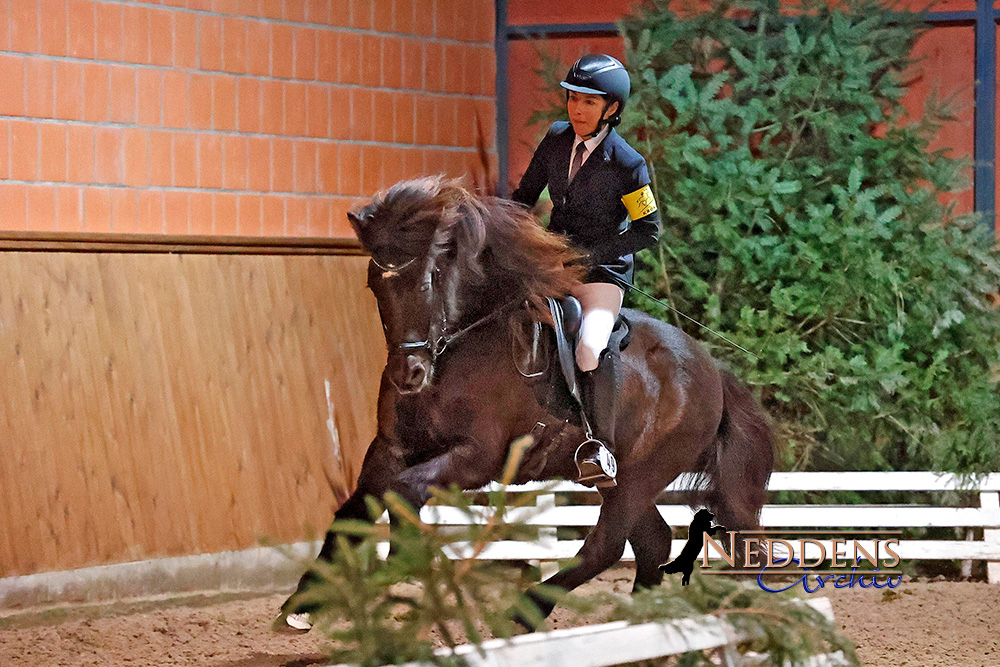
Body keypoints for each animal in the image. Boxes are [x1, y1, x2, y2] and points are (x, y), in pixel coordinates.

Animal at [280, 175, 772, 628]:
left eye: (432, 278)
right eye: (373, 284)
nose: (409, 375)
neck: (458, 350)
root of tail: (712, 369)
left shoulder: (478, 458)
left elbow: (405, 491)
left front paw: (398, 565)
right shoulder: (389, 447)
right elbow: (352, 512)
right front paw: (303, 602)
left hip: (643, 473)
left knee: (608, 544)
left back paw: (529, 608)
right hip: (623, 478)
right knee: (651, 539)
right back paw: (641, 620)